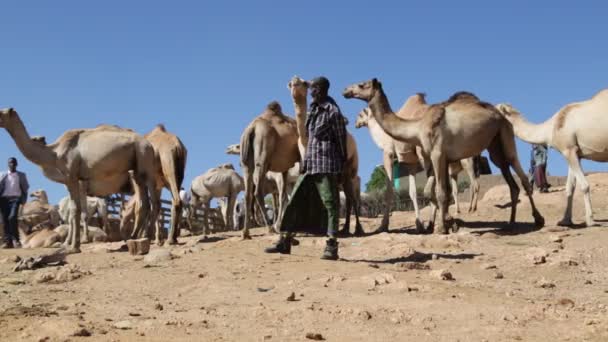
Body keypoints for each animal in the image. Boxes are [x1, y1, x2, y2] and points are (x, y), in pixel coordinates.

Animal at [0, 108, 159, 252]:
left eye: (1, 112)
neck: (54, 153)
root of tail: (149, 144)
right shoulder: (72, 181)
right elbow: (74, 211)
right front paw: (69, 244)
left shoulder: (73, 177)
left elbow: (76, 211)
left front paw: (74, 246)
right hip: (137, 172)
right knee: (144, 203)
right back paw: (134, 237)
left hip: (145, 161)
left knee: (153, 202)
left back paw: (148, 238)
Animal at [342, 80, 548, 234]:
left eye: (362, 84)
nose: (345, 90)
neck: (417, 126)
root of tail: (501, 114)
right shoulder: (437, 158)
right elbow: (438, 192)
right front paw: (445, 222)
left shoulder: (436, 153)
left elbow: (438, 192)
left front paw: (442, 226)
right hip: (495, 147)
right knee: (511, 182)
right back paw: (511, 222)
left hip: (505, 135)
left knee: (522, 176)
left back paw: (538, 219)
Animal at [494, 89, 608, 227]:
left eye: (494, 109)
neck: (551, 128)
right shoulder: (573, 152)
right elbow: (570, 188)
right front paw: (565, 221)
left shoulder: (569, 149)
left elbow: (584, 185)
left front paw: (590, 220)